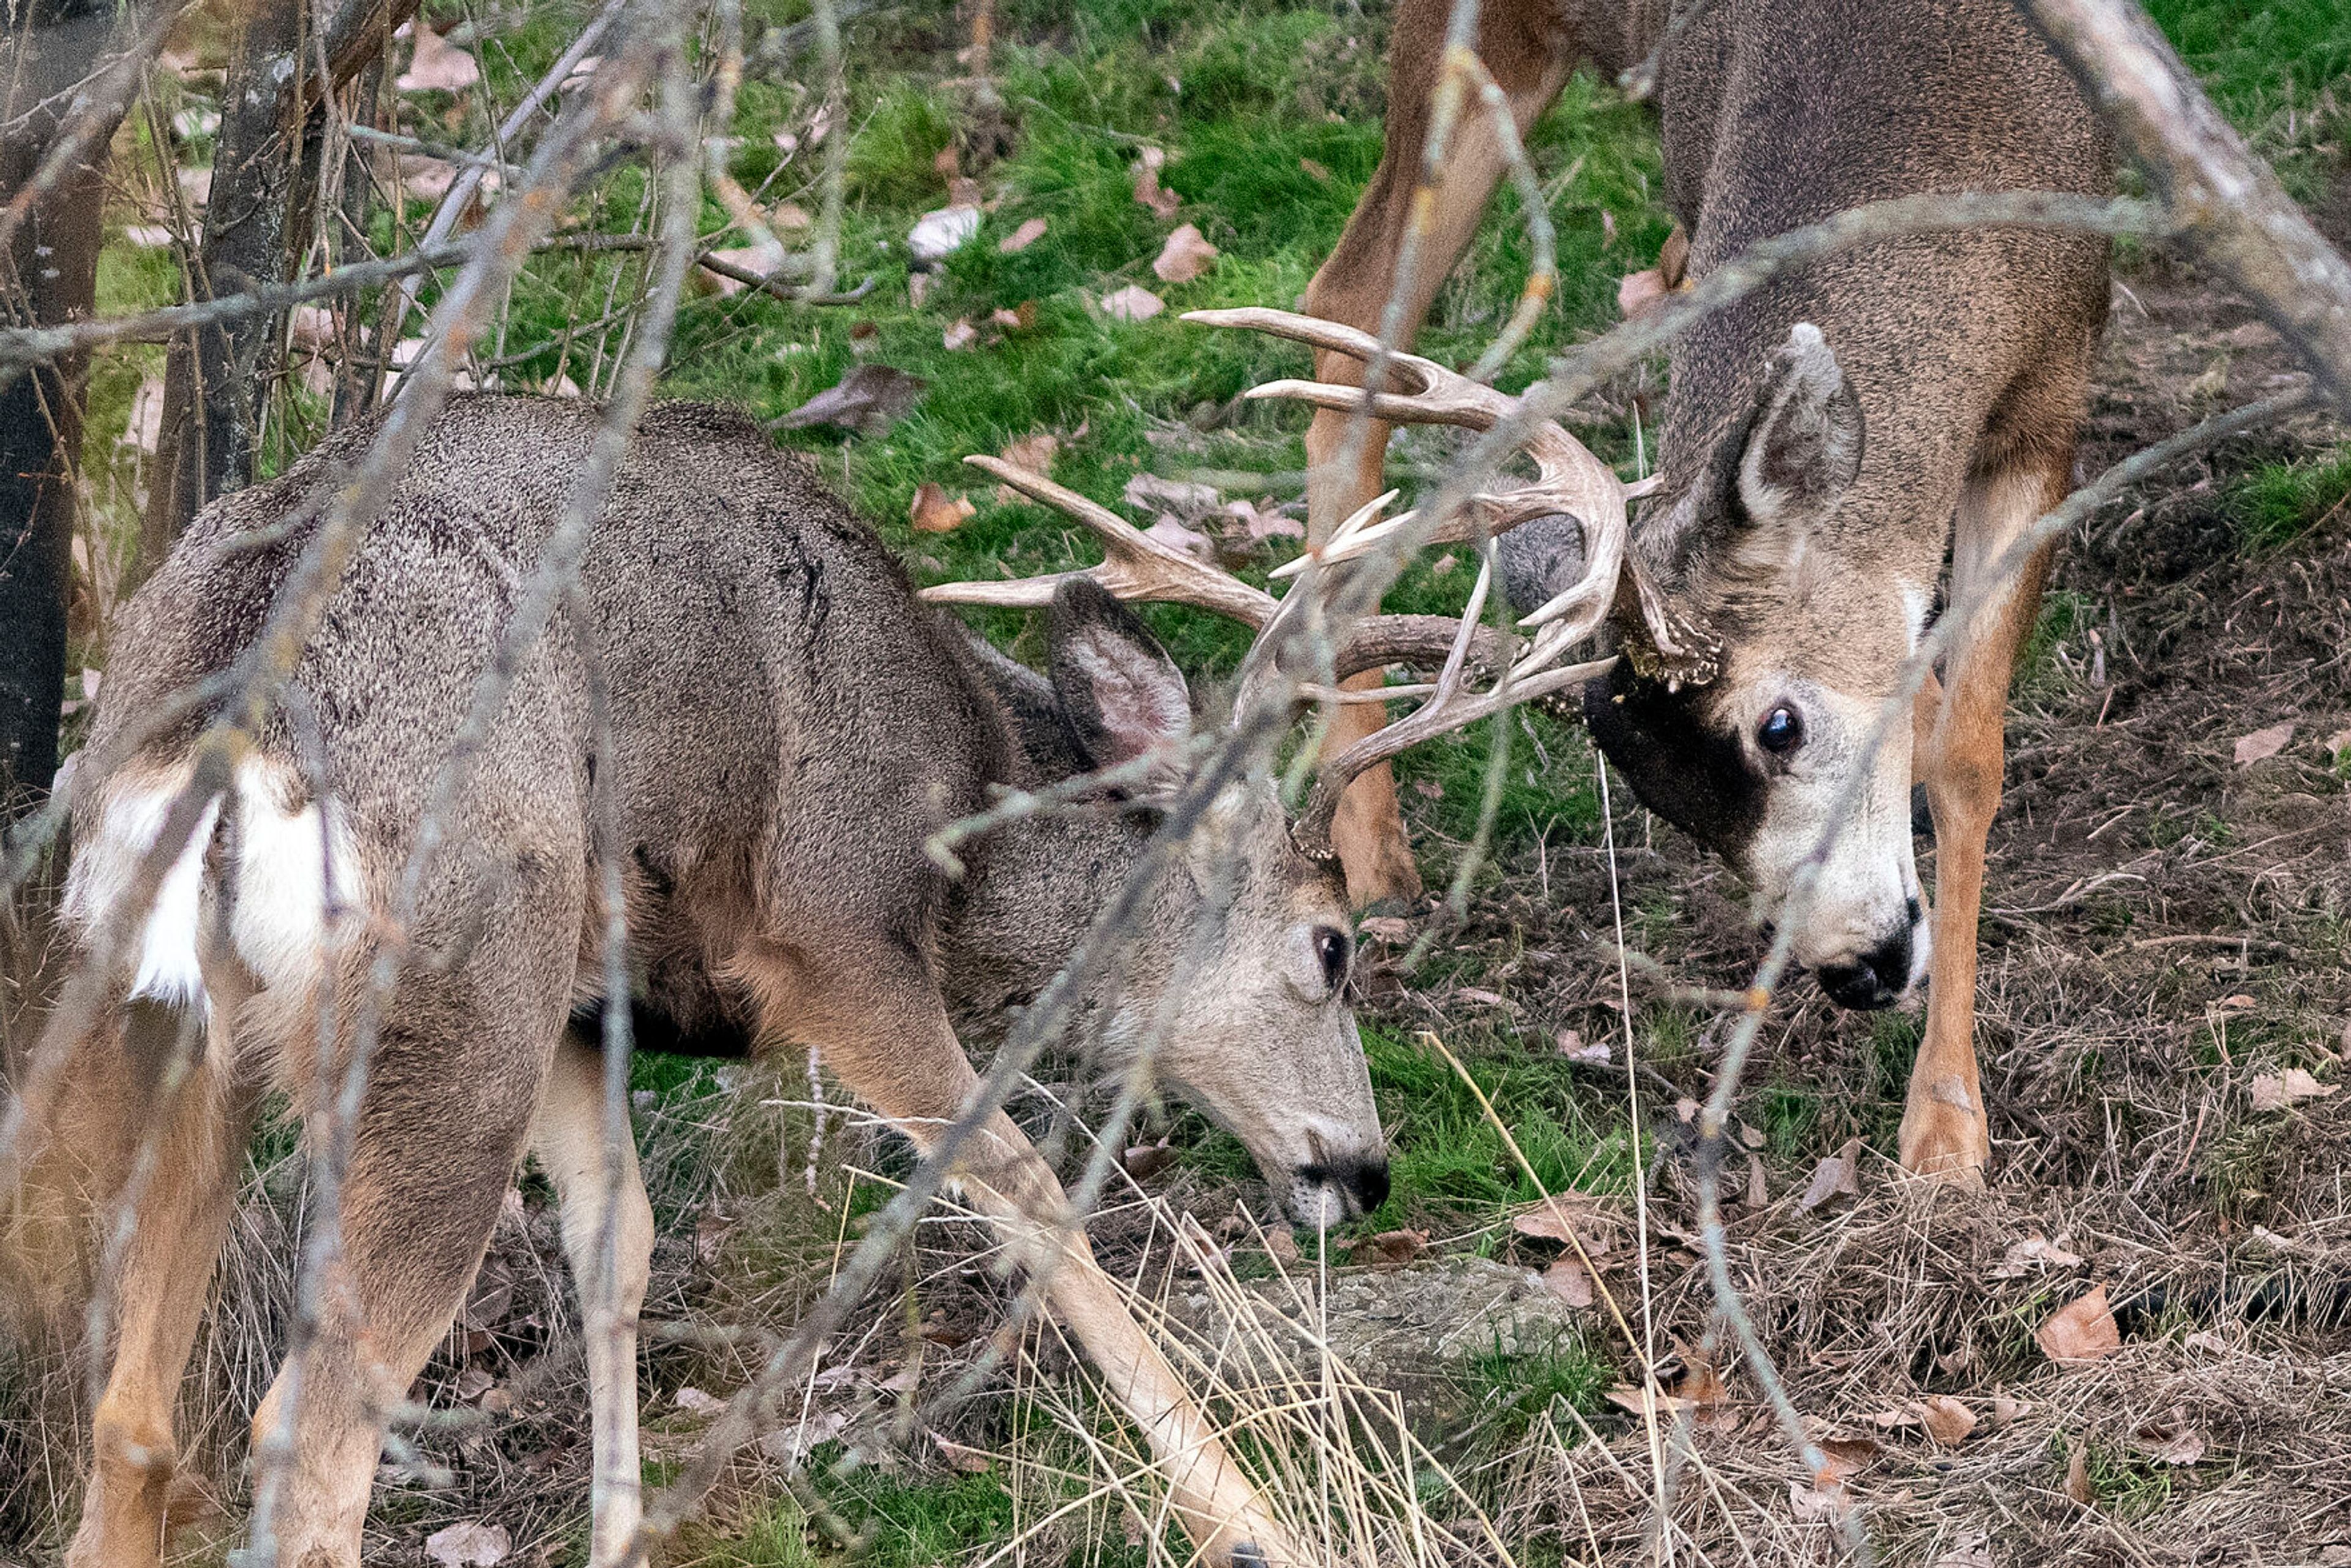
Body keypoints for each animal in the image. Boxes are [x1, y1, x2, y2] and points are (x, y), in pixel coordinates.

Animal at [9, 306, 1655, 1568]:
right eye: (1329, 944)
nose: (1361, 1164)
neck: (967, 797)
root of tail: (226, 707)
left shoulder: (591, 990)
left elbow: (619, 1238)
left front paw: (622, 1532)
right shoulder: (828, 927)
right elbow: (1020, 1191)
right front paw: (1258, 1521)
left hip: (186, 1001)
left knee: (134, 1411)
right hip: (449, 988)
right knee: (307, 1430)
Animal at [1297, 0, 2125, 1185]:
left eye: (1779, 725)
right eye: (1651, 788)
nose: (1860, 972)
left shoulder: (2052, 399)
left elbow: (1966, 750)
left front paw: (1945, 1127)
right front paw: (1947, 1119)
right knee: (1354, 306)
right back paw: (1369, 847)